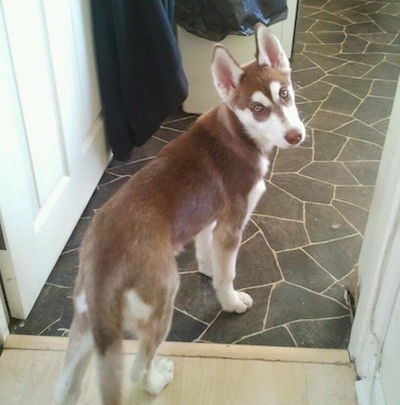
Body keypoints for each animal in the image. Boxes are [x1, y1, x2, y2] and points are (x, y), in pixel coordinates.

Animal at [54, 23, 306, 402]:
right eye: (258, 109)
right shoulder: (232, 224)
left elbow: (208, 255)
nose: (295, 136)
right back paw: (157, 380)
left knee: (64, 383)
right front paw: (230, 301)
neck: (241, 135)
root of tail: (103, 266)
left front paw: (208, 270)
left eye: (286, 94)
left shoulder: (208, 219)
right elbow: (228, 274)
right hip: (161, 302)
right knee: (136, 368)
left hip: (85, 326)